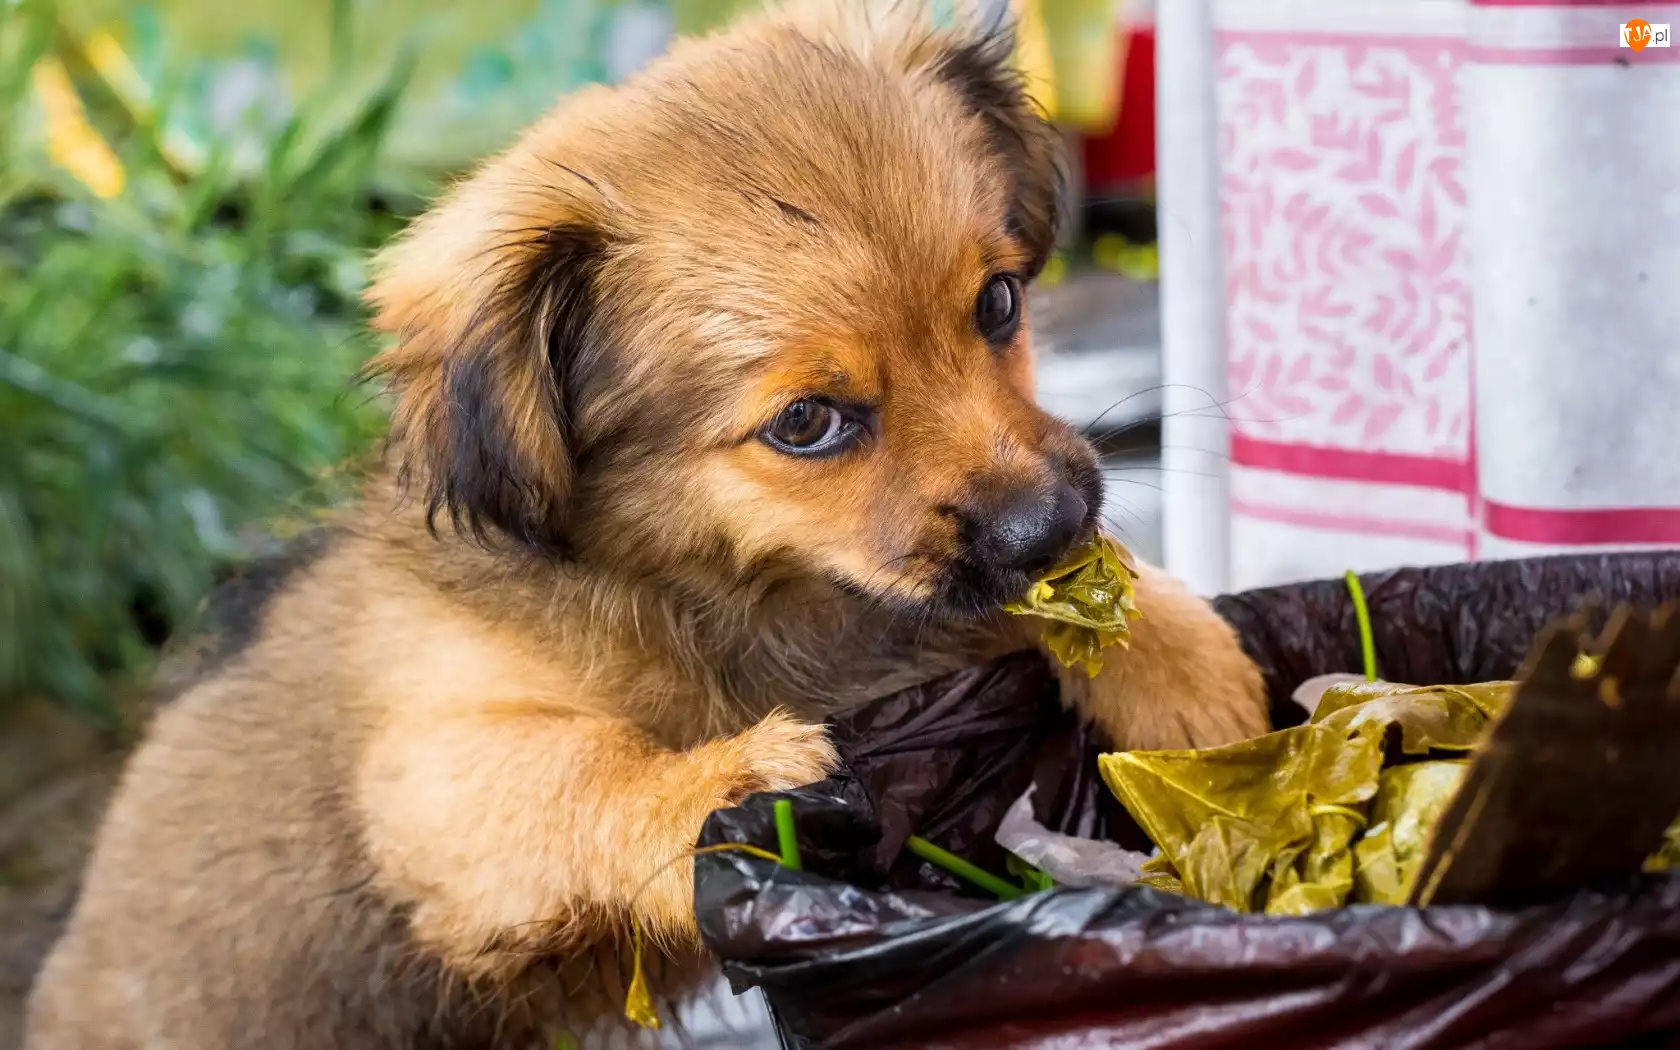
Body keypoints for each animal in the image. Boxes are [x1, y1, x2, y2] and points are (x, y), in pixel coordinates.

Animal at [26, 4, 1263, 1041]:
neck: (721, 583)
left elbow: (1054, 600)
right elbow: (588, 763)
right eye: (808, 423)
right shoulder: (434, 778)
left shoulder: (905, 611)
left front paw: (1181, 661)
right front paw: (735, 783)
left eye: (998, 304)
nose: (1049, 523)